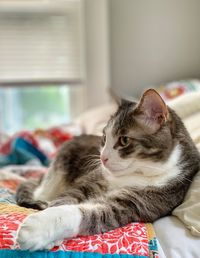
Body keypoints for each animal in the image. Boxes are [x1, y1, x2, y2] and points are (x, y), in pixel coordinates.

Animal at [16, 88, 200, 250]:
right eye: (104, 137)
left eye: (124, 140)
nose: (102, 158)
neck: (135, 174)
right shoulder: (92, 180)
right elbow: (66, 198)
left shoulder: (139, 202)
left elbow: (93, 213)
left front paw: (39, 228)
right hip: (56, 174)